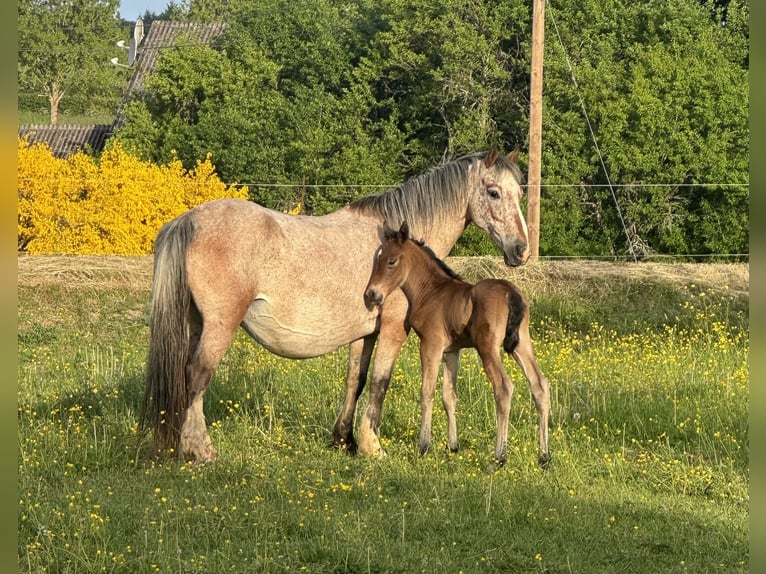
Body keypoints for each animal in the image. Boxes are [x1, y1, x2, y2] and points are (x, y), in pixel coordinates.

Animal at [140, 146, 530, 463]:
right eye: (494, 192)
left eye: (519, 192)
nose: (521, 250)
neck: (398, 253)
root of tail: (188, 221)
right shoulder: (393, 329)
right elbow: (380, 382)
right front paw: (373, 447)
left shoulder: (365, 334)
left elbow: (355, 380)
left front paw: (346, 441)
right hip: (220, 325)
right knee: (197, 374)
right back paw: (201, 451)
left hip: (193, 324)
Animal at [363, 221, 550, 467]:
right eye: (376, 259)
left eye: (391, 261)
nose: (371, 294)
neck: (431, 291)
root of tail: (511, 293)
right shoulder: (451, 351)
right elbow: (449, 396)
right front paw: (453, 446)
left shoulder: (430, 344)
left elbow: (427, 392)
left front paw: (423, 446)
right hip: (522, 344)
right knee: (540, 385)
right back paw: (544, 456)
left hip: (488, 347)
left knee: (503, 387)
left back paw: (499, 456)